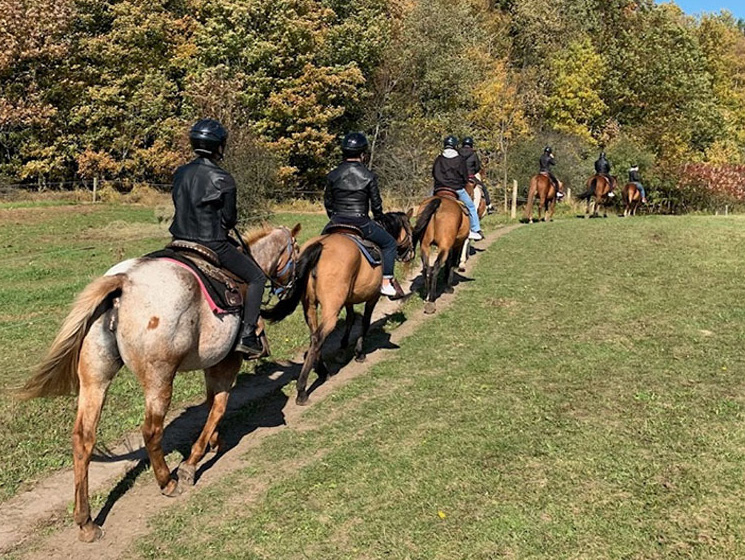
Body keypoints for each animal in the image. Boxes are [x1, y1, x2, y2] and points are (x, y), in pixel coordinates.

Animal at [15, 223, 300, 544]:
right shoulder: (228, 362)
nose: (290, 288)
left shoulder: (214, 364)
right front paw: (192, 462)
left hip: (95, 377)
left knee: (83, 438)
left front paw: (215, 442)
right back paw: (167, 482)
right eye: (296, 251)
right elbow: (218, 407)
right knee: (151, 431)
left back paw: (86, 521)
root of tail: (124, 282)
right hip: (159, 378)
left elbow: (211, 404)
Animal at [260, 212, 412, 404]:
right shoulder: (373, 297)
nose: (410, 254)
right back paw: (302, 389)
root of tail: (321, 245)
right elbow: (364, 322)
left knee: (314, 335)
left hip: (309, 306)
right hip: (331, 308)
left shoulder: (347, 300)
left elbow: (350, 319)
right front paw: (359, 353)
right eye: (410, 228)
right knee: (318, 337)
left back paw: (322, 370)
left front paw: (342, 349)